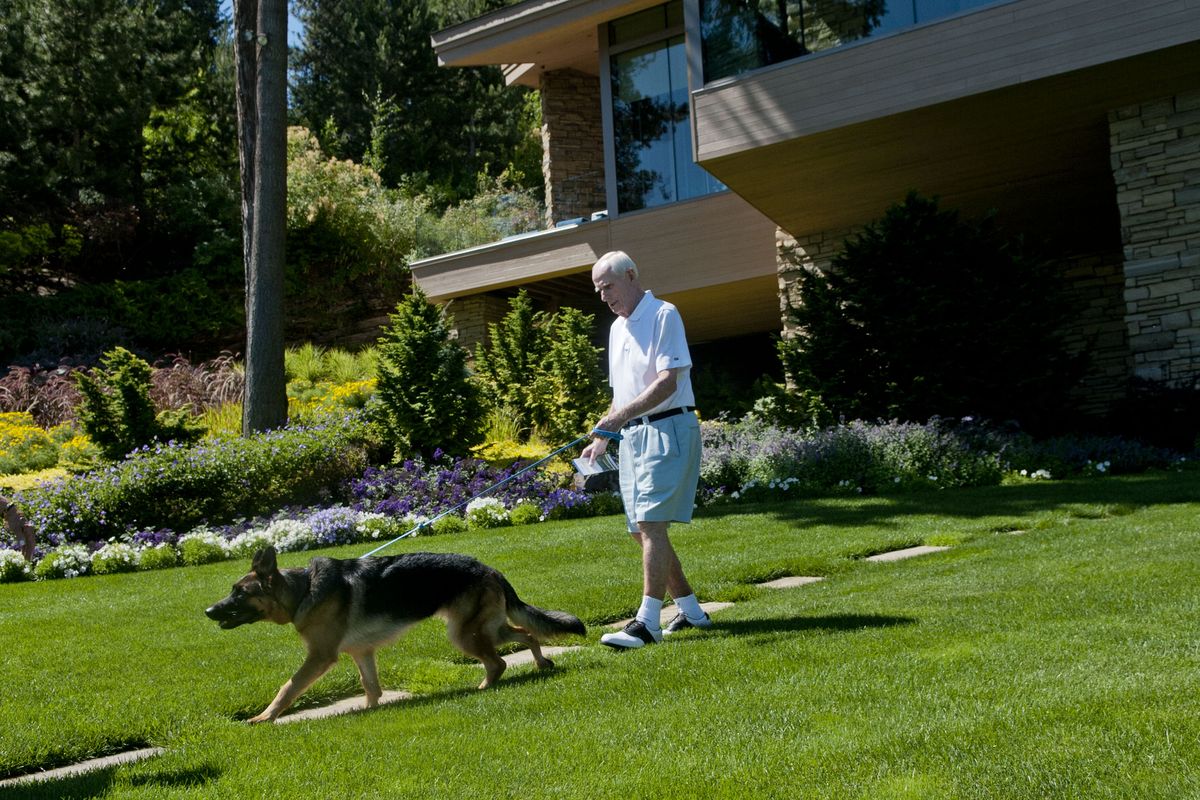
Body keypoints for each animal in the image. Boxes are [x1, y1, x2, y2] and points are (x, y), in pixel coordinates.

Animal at [205, 544, 585, 724]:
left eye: (239, 593)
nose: (207, 612)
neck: (303, 590)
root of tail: (489, 568)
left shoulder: (320, 657)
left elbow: (288, 687)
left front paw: (264, 717)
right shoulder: (362, 653)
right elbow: (371, 686)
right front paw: (369, 710)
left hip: (463, 635)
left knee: (498, 663)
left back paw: (483, 688)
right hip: (486, 628)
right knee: (528, 634)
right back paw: (541, 664)